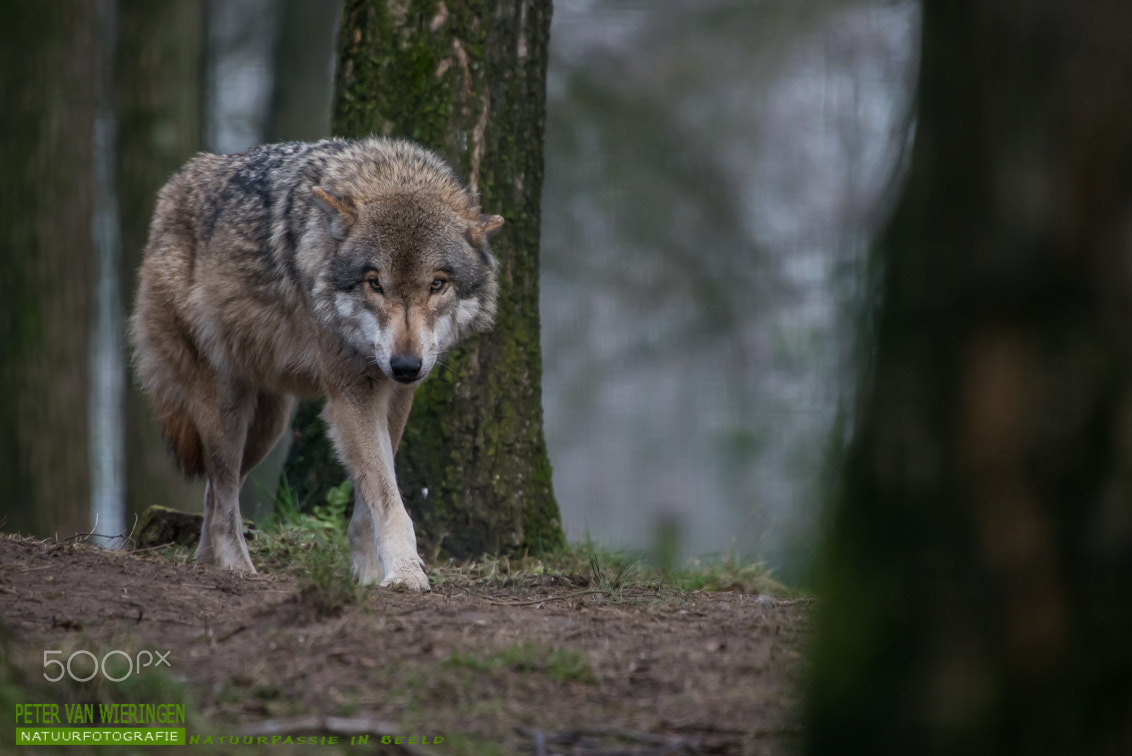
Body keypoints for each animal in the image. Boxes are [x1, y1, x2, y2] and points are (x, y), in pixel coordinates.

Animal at [129, 136, 503, 591]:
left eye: (437, 284)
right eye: (375, 283)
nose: (405, 365)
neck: (390, 171)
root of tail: (171, 189)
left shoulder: (394, 398)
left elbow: (372, 493)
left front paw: (369, 572)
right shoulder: (352, 392)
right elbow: (387, 495)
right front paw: (404, 571)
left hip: (267, 427)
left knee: (215, 494)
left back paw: (206, 563)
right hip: (226, 412)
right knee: (223, 496)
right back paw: (238, 570)